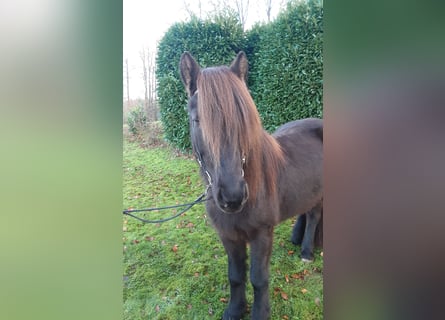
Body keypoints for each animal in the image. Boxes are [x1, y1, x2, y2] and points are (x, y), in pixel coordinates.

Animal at [180, 51, 322, 318]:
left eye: (243, 119)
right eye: (196, 120)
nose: (232, 196)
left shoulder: (261, 235)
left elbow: (258, 278)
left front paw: (259, 313)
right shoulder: (229, 236)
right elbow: (235, 276)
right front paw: (234, 310)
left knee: (314, 216)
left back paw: (307, 251)